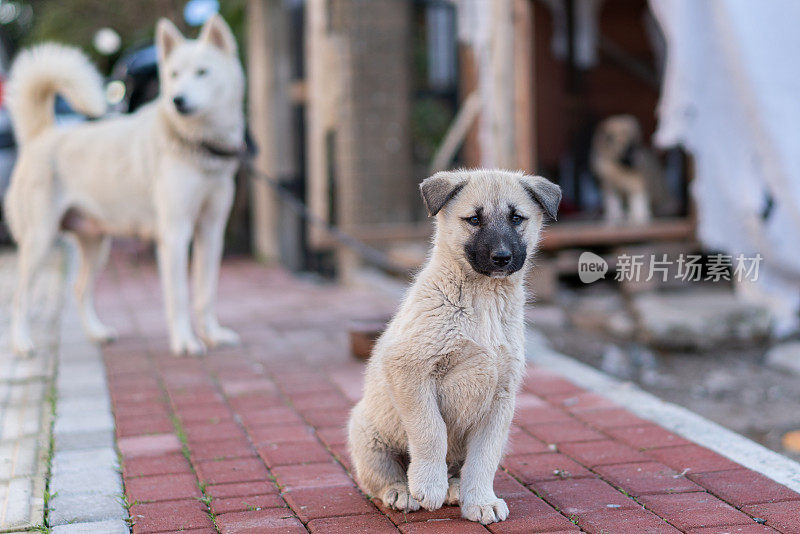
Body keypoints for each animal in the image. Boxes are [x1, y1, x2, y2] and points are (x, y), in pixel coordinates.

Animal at [3, 16, 244, 358]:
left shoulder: (211, 231)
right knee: (20, 297)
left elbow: (206, 293)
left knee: (79, 288)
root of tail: (41, 135)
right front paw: (185, 341)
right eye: (174, 75)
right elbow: (180, 296)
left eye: (202, 72)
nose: (178, 100)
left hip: (96, 244)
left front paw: (212, 335)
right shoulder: (175, 234)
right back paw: (23, 344)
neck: (194, 143)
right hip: (40, 240)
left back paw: (97, 333)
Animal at [346, 170, 560, 524]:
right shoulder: (410, 370)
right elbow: (431, 431)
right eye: (474, 219)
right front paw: (428, 485)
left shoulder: (500, 397)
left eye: (517, 218)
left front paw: (481, 501)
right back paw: (403, 491)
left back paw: (456, 488)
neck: (483, 300)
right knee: (380, 478)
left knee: (461, 468)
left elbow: (483, 458)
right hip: (366, 433)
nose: (502, 258)